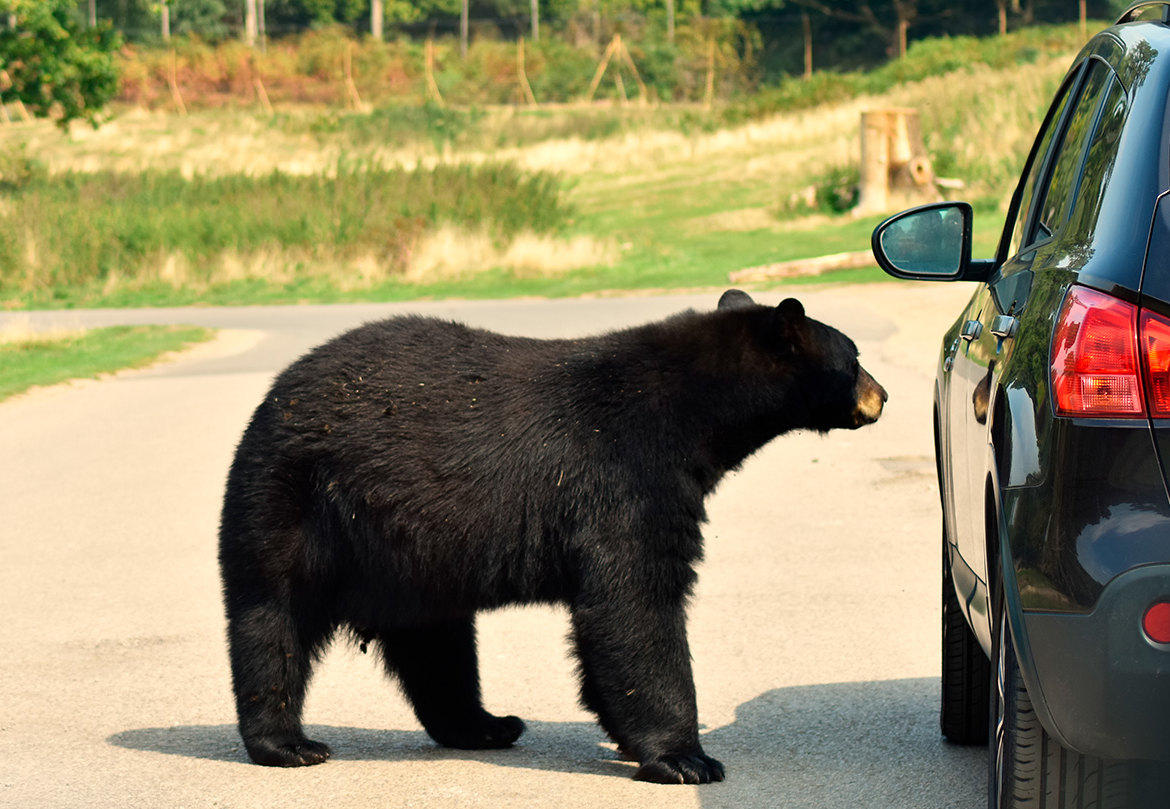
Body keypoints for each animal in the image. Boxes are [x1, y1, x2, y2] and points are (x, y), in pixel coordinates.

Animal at [217, 288, 884, 782]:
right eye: (853, 357)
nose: (881, 395)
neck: (691, 414)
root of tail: (276, 394)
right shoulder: (624, 478)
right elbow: (635, 602)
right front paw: (686, 758)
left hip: (415, 551)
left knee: (435, 644)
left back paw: (487, 724)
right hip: (292, 500)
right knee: (272, 617)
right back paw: (288, 744)